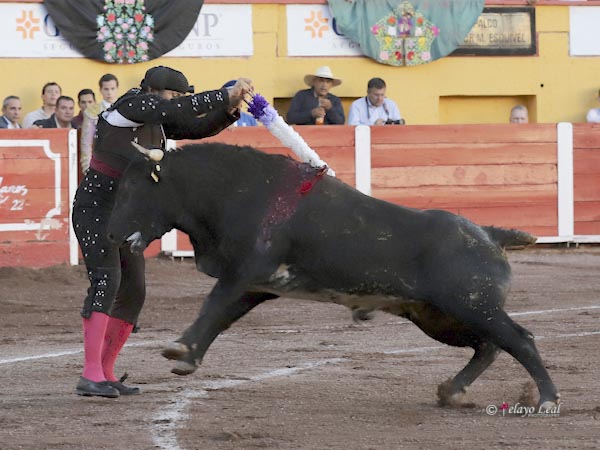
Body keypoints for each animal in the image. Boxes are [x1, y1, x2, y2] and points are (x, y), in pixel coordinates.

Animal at [105, 142, 560, 406]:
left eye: (132, 189)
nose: (110, 234)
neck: (234, 190)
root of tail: (488, 234)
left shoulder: (246, 271)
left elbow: (213, 305)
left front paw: (179, 350)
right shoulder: (256, 283)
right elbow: (221, 316)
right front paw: (188, 357)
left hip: (470, 305)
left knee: (519, 339)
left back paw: (547, 400)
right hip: (439, 317)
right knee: (489, 346)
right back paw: (452, 392)